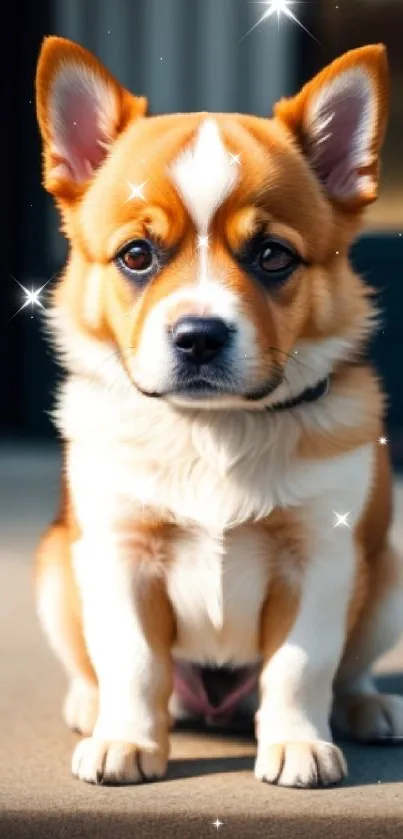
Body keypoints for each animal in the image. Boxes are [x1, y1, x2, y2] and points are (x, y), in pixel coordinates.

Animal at [34, 37, 403, 788]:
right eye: (136, 255)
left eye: (272, 256)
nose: (199, 336)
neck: (214, 429)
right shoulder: (118, 550)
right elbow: (132, 661)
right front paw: (127, 740)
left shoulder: (321, 554)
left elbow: (300, 665)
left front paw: (296, 743)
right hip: (55, 568)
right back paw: (90, 705)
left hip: (387, 575)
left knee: (348, 670)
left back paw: (367, 706)